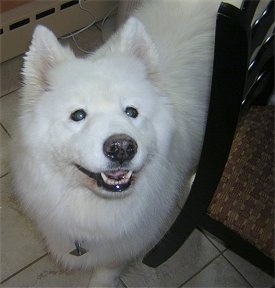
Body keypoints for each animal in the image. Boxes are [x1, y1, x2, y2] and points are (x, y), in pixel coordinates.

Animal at [11, 0, 243, 286]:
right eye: (78, 115)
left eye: (131, 112)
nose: (122, 147)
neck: (96, 209)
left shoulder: (123, 248)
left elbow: (105, 273)